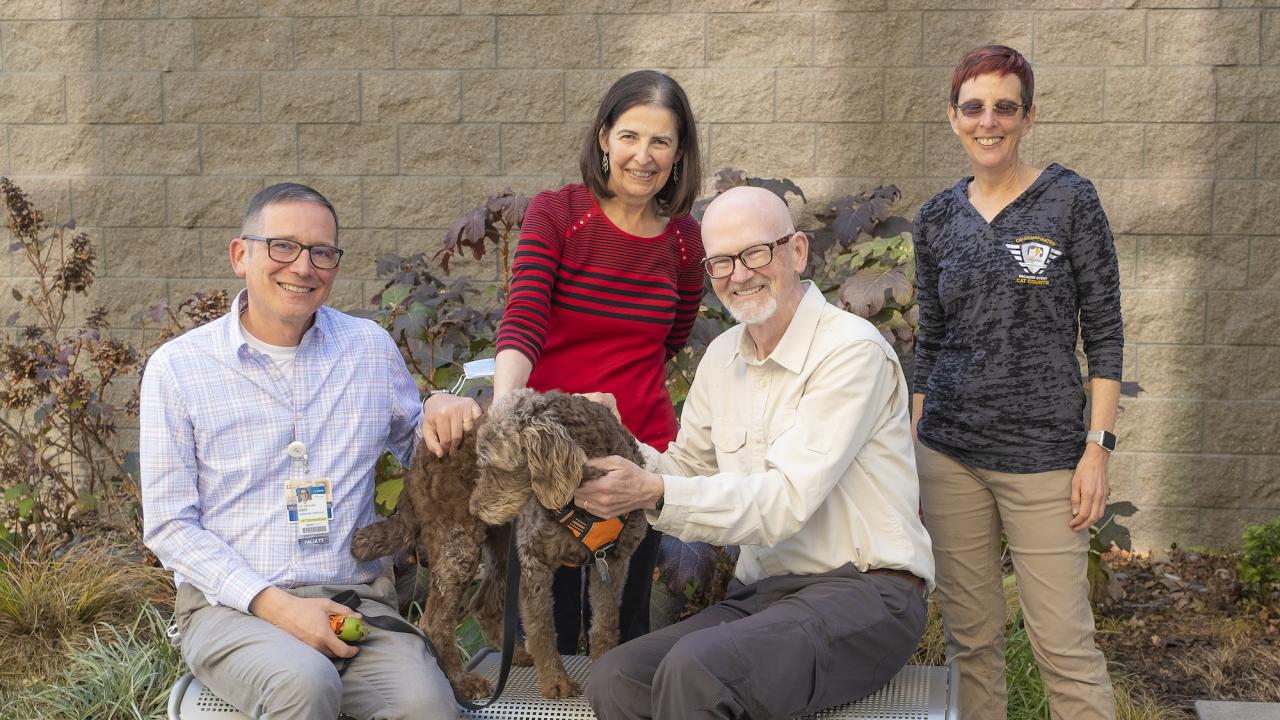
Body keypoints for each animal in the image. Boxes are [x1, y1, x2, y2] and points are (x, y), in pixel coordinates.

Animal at [353, 389, 645, 696]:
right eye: (479, 463)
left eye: (497, 466)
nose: (474, 508)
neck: (580, 500)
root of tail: (418, 457)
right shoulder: (533, 561)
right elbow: (541, 628)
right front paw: (556, 682)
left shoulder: (613, 562)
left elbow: (605, 623)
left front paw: (601, 669)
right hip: (459, 546)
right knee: (434, 622)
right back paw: (463, 682)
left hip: (503, 549)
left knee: (481, 604)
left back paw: (514, 655)